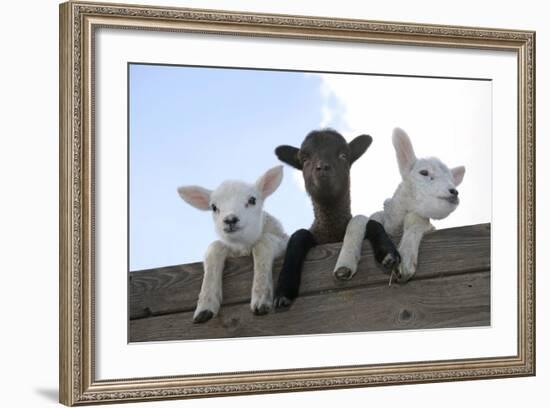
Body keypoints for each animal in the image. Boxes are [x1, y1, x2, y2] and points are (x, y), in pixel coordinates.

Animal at [178, 165, 292, 322]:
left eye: (252, 200)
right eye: (214, 207)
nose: (230, 219)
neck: (243, 246)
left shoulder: (284, 240)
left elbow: (263, 243)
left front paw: (261, 298)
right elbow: (214, 247)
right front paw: (205, 307)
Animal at [334, 127, 468, 284]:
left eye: (452, 180)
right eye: (424, 172)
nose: (454, 192)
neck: (395, 227)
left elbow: (416, 220)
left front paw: (405, 262)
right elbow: (359, 219)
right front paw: (344, 265)